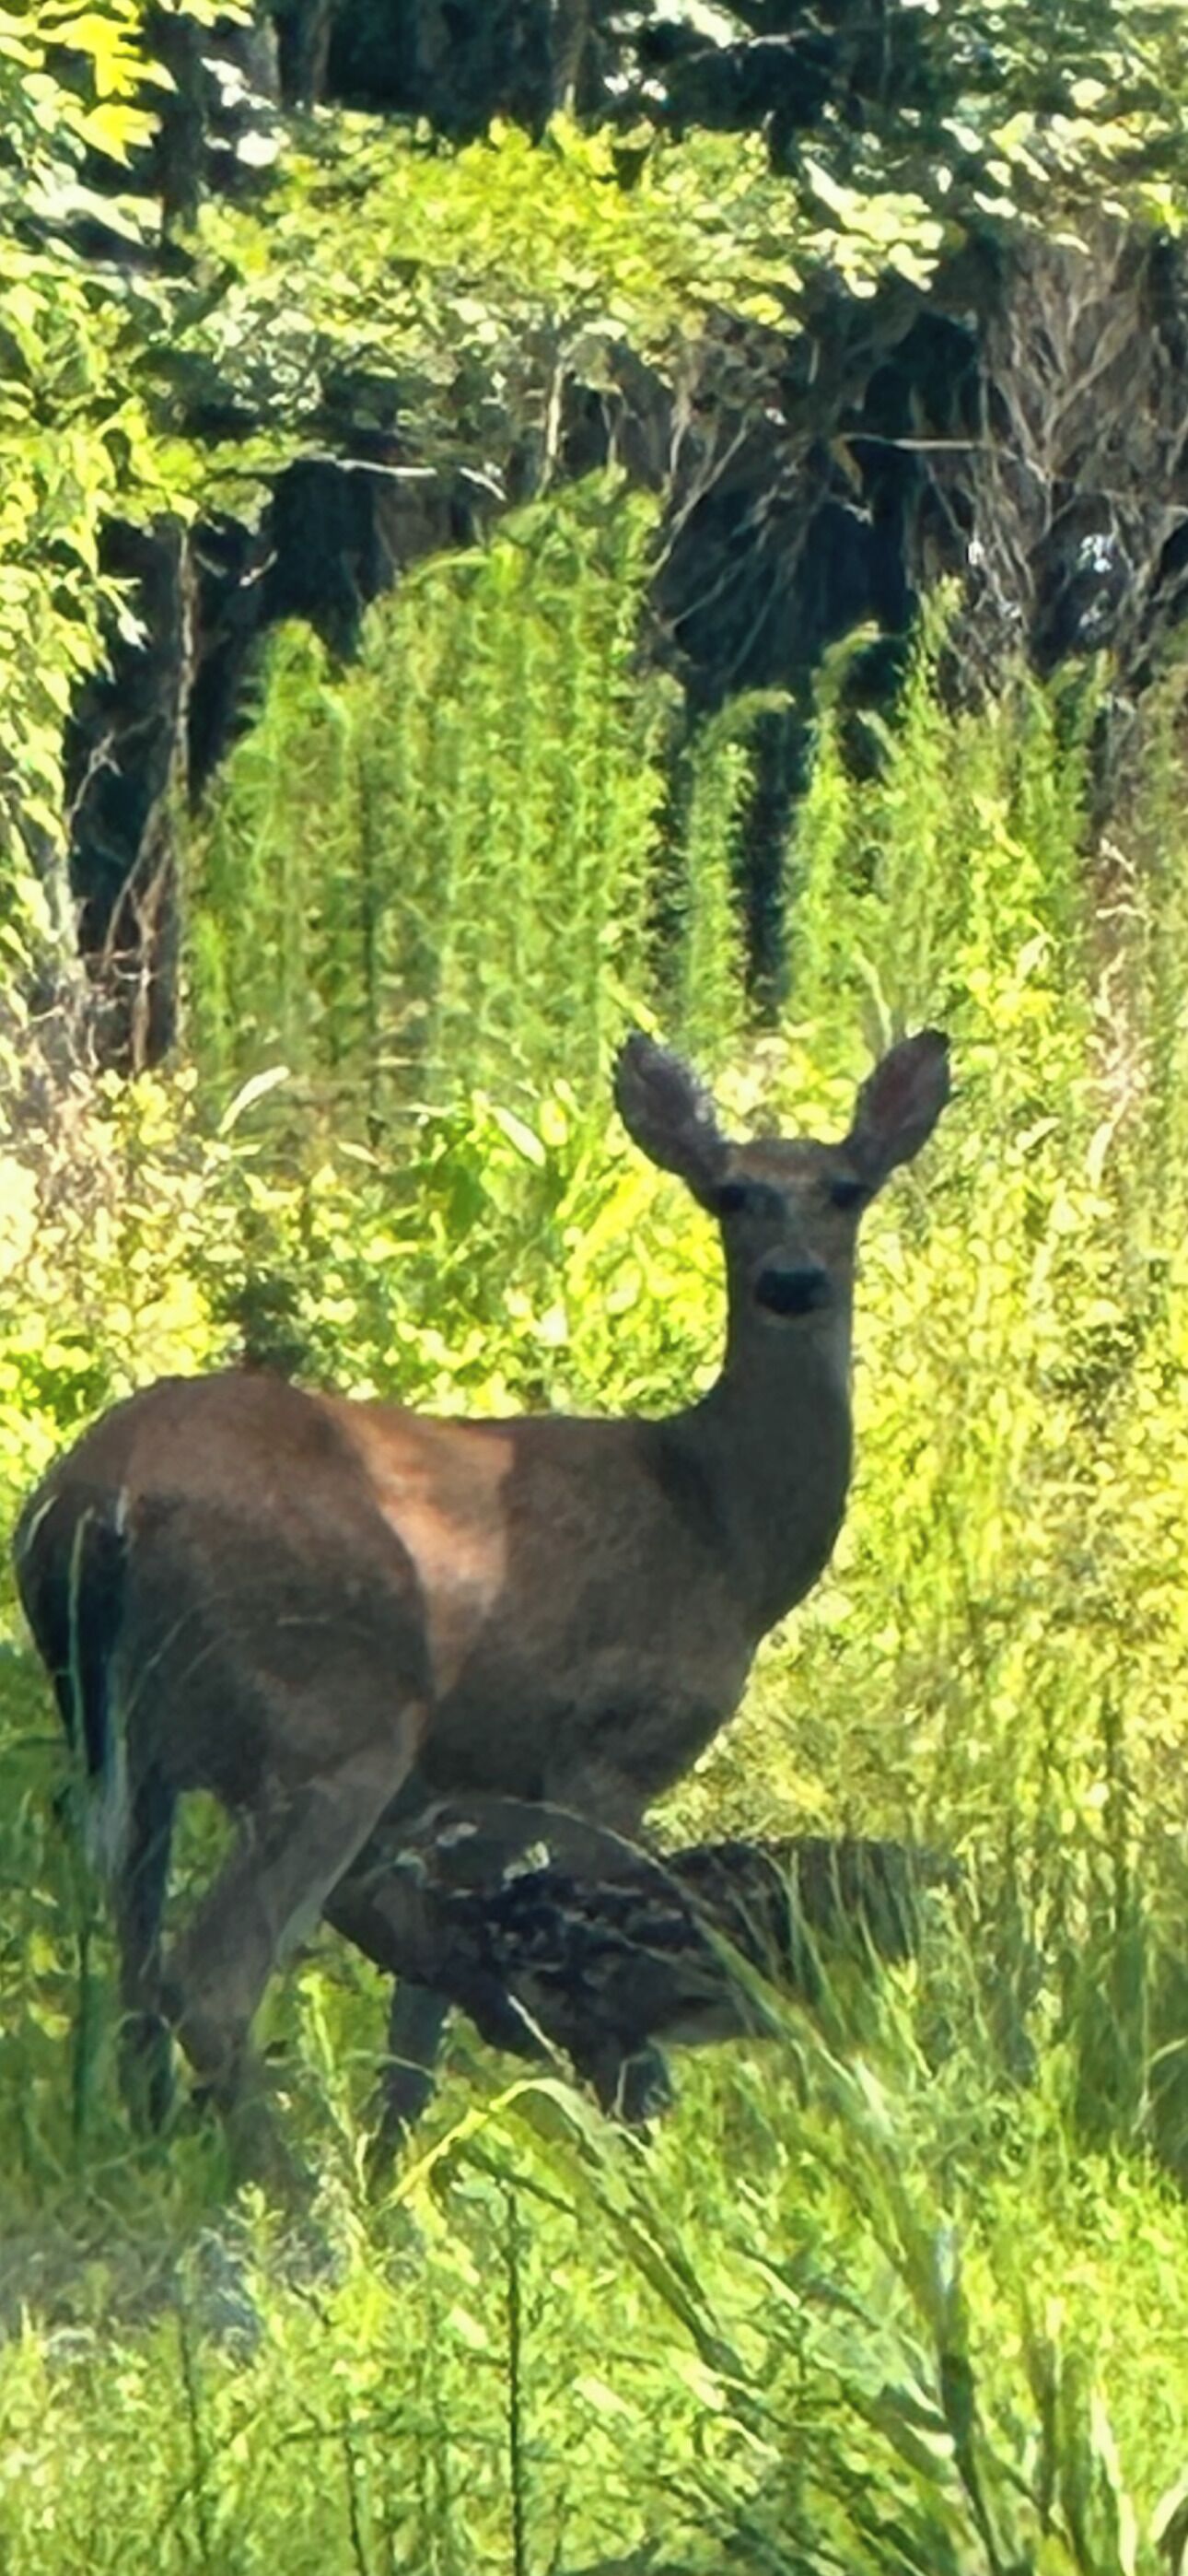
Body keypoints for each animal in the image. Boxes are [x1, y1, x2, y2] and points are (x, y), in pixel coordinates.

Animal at [12, 1026, 950, 2179]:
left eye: (847, 1190)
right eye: (730, 1193)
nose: (792, 1281)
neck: (723, 1526)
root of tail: (98, 1505)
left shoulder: (462, 1792)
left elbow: (419, 2025)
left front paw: (399, 2175)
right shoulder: (607, 1746)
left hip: (132, 1750)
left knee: (137, 1963)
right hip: (332, 1716)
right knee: (215, 1975)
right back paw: (291, 2187)